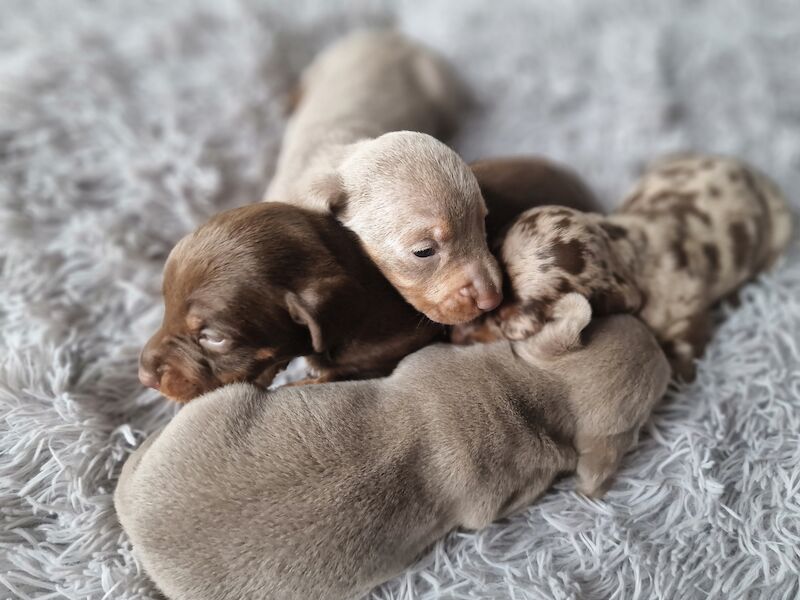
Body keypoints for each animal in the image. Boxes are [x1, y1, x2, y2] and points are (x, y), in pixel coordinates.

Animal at [264, 29, 500, 324]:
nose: (492, 300)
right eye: (423, 252)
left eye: (483, 223)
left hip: (437, 83)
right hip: (329, 60)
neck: (342, 155)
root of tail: (391, 36)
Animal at [456, 155, 792, 380]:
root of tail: (753, 173)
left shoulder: (686, 322)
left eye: (506, 324)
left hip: (781, 232)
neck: (628, 251)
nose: (455, 336)